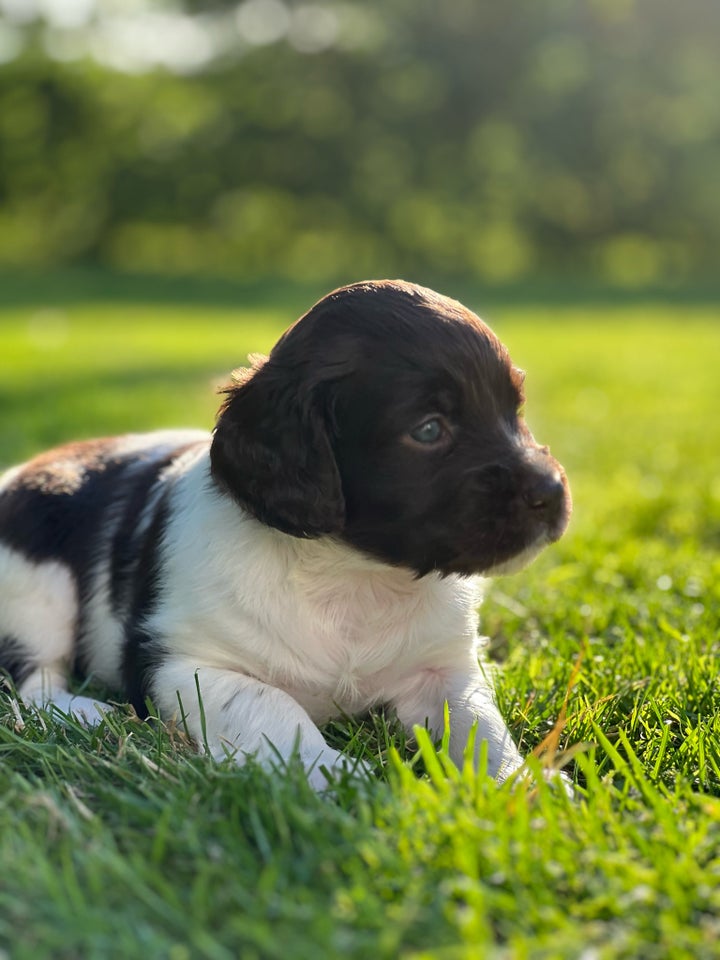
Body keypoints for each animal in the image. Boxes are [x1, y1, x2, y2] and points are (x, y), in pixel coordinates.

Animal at [1, 280, 572, 788]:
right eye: (429, 430)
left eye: (513, 411)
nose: (552, 491)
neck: (353, 578)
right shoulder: (182, 665)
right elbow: (273, 704)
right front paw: (340, 776)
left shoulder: (443, 668)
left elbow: (479, 724)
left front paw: (524, 786)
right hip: (36, 586)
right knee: (33, 684)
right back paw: (92, 715)